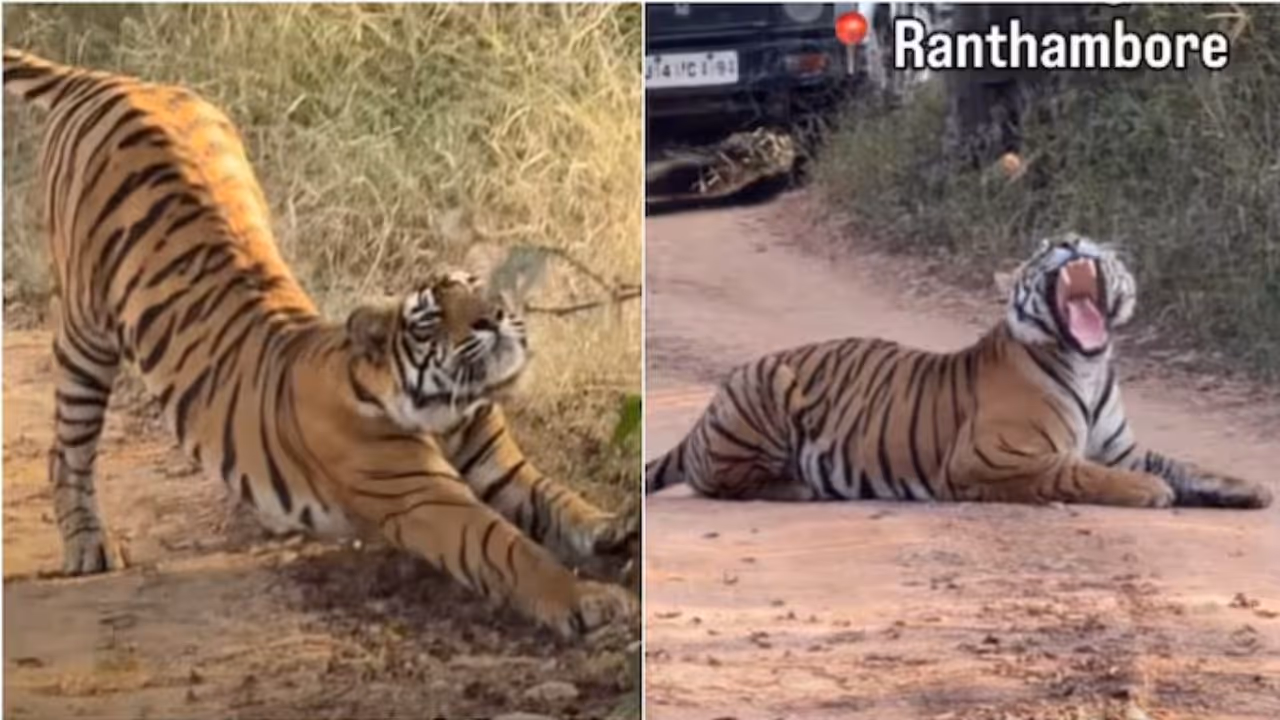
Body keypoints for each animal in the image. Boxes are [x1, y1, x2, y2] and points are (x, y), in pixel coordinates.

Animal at [3, 48, 638, 638]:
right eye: (433, 317)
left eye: (477, 287)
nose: (496, 317)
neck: (447, 407)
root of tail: (111, 79)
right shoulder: (426, 499)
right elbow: (509, 548)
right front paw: (591, 601)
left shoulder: (503, 467)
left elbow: (561, 500)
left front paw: (616, 528)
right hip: (85, 332)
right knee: (68, 448)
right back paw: (88, 546)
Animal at [647, 233, 1273, 510]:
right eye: (1043, 248)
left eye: (1087, 238)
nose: (1068, 239)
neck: (1089, 366)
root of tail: (707, 409)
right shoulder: (993, 457)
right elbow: (1080, 473)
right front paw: (1150, 491)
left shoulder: (1122, 446)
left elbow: (1187, 465)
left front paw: (1250, 486)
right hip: (765, 395)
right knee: (716, 480)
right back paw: (797, 486)